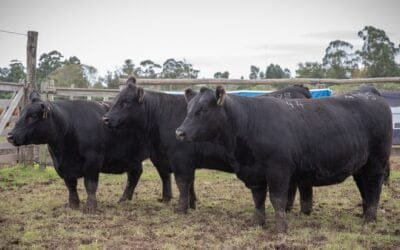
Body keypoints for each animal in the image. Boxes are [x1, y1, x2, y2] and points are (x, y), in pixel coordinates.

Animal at [7, 93, 171, 212]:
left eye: (32, 116)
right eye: (21, 114)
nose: (10, 136)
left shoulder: (93, 160)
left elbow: (90, 184)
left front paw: (91, 207)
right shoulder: (61, 165)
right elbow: (70, 185)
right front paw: (73, 205)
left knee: (163, 174)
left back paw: (166, 198)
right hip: (132, 156)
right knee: (135, 174)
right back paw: (124, 199)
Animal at [102, 77, 312, 219]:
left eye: (126, 102)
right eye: (116, 99)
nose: (105, 119)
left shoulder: (181, 159)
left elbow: (183, 183)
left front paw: (181, 209)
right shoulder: (175, 160)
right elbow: (187, 183)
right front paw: (191, 204)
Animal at [177, 85, 392, 232]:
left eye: (202, 110)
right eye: (188, 110)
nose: (179, 132)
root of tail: (371, 94)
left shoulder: (278, 170)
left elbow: (277, 199)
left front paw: (280, 229)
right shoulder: (254, 174)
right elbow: (258, 199)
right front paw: (257, 223)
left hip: (376, 162)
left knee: (374, 188)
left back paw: (369, 221)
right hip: (361, 166)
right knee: (365, 189)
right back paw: (365, 215)